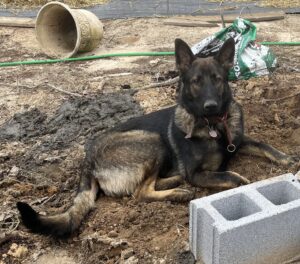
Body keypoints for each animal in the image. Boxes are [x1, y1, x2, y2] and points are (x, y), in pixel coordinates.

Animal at [16, 37, 296, 237]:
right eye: (195, 81)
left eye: (217, 79)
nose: (211, 106)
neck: (214, 125)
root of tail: (88, 159)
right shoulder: (197, 173)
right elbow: (230, 176)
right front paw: (242, 180)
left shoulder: (237, 142)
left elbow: (263, 145)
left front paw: (287, 159)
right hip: (152, 141)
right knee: (140, 193)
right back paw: (178, 192)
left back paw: (174, 182)